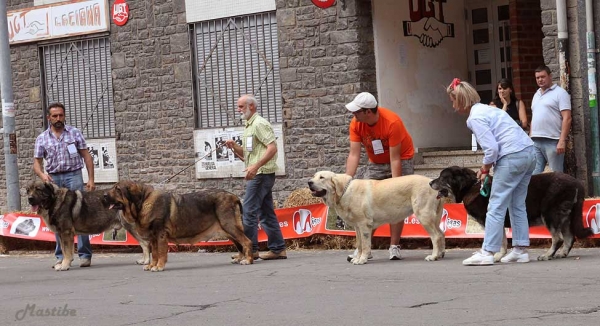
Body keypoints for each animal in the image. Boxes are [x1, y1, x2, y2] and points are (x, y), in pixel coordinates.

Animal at [103, 182, 253, 272]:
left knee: (247, 241)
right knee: (239, 243)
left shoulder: (160, 235)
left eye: (117, 189)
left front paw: (159, 266)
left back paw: (248, 260)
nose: (104, 195)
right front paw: (152, 265)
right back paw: (241, 258)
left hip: (230, 226)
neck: (142, 202)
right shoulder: (153, 238)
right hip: (227, 230)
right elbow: (155, 253)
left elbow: (161, 252)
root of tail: (234, 196)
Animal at [310, 172, 446, 264]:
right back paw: (441, 254)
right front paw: (357, 257)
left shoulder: (364, 225)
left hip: (424, 215)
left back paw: (433, 256)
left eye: (322, 177)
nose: (309, 182)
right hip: (434, 218)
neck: (344, 191)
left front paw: (362, 259)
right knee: (441, 233)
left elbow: (365, 244)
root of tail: (432, 183)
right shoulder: (357, 227)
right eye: (314, 176)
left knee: (436, 236)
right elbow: (359, 244)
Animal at [428, 167, 592, 262]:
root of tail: (577, 183)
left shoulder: (491, 219)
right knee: (569, 238)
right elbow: (503, 241)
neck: (471, 187)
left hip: (550, 215)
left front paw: (493, 256)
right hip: (565, 217)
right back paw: (561, 254)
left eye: (442, 177)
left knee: (558, 239)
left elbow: (498, 240)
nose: (430, 183)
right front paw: (500, 256)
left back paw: (547, 255)